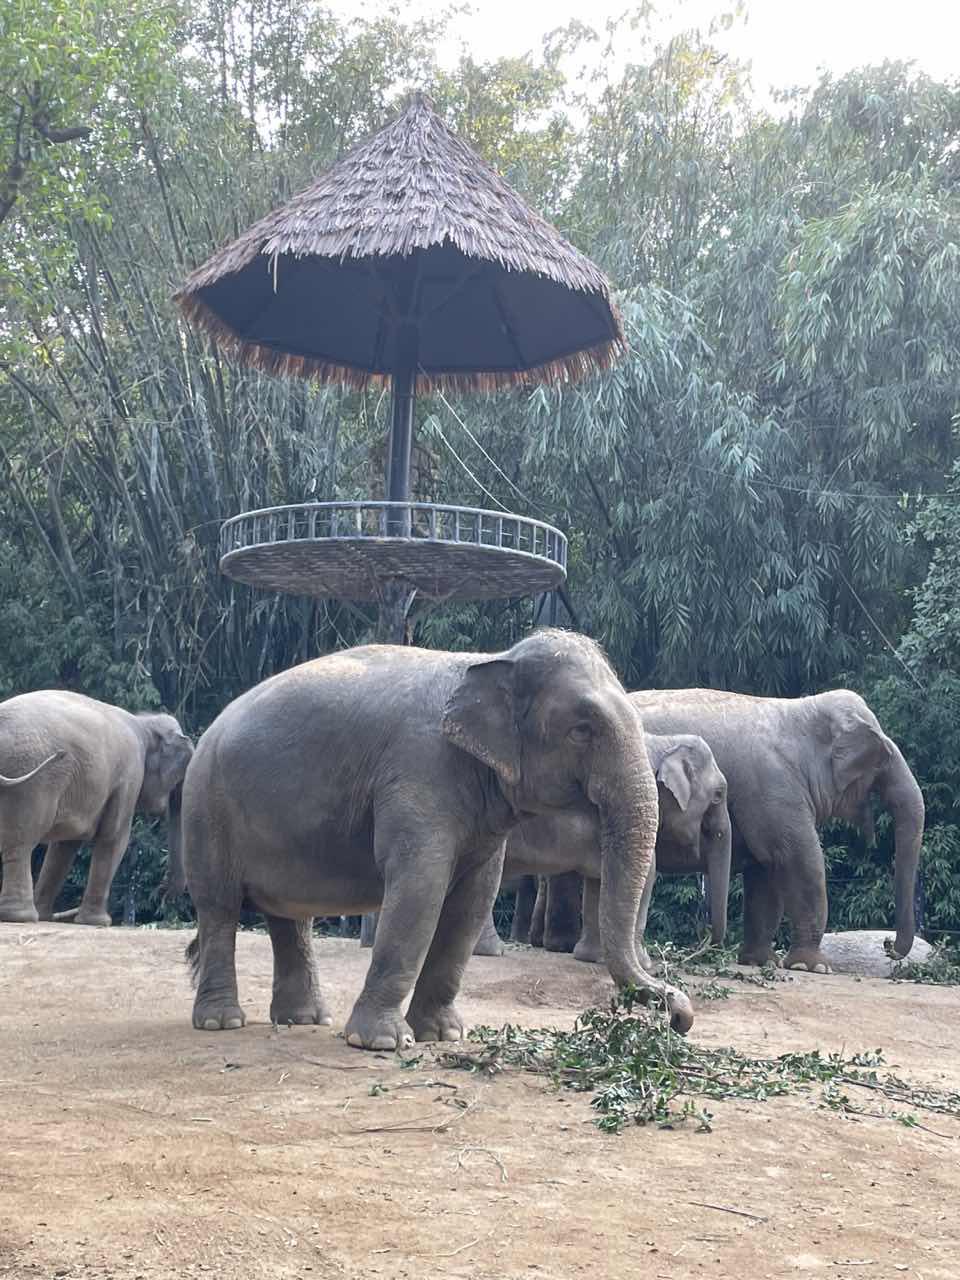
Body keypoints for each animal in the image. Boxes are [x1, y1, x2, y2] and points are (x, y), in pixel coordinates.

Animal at [0, 690, 193, 925]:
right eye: (180, 778)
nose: (163, 890)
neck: (144, 722)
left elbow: (64, 847)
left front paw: (46, 916)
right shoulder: (129, 776)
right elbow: (114, 837)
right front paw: (98, 922)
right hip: (31, 777)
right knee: (23, 839)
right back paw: (20, 917)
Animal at [176, 629, 694, 1049]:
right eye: (582, 730)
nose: (680, 1018)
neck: (492, 659)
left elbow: (473, 899)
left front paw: (443, 1035)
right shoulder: (418, 770)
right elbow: (420, 888)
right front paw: (382, 1043)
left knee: (288, 916)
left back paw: (303, 1020)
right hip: (205, 807)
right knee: (219, 906)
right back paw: (222, 1023)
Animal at [472, 731, 731, 962]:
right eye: (718, 795)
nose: (703, 945)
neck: (665, 742)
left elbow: (601, 876)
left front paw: (591, 958)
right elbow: (647, 873)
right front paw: (644, 963)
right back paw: (491, 951)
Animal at [630, 688, 925, 972]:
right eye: (882, 761)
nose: (888, 945)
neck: (802, 711)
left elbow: (765, 871)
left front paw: (761, 962)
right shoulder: (773, 791)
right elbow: (800, 861)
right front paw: (813, 966)